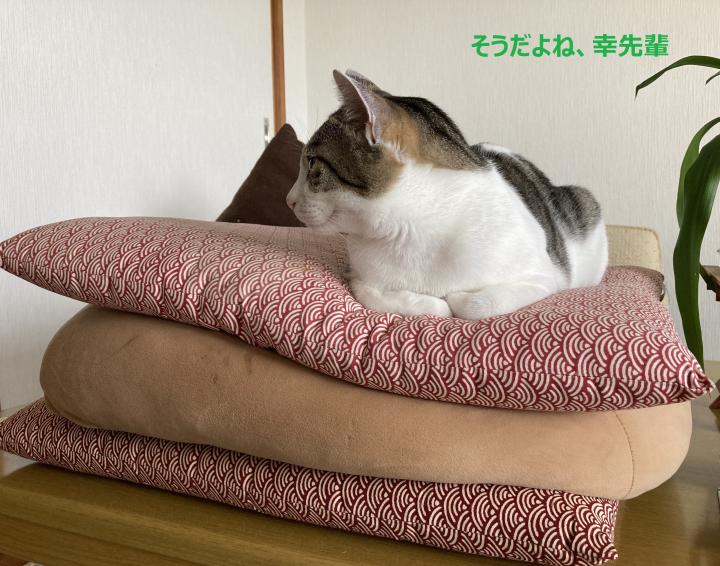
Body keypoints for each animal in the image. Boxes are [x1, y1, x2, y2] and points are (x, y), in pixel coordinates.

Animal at [286, 70, 608, 320]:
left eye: (312, 164)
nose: (288, 200)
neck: (412, 229)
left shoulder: (545, 276)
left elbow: (474, 305)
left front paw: (456, 298)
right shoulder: (358, 274)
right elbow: (381, 295)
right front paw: (430, 302)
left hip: (585, 206)